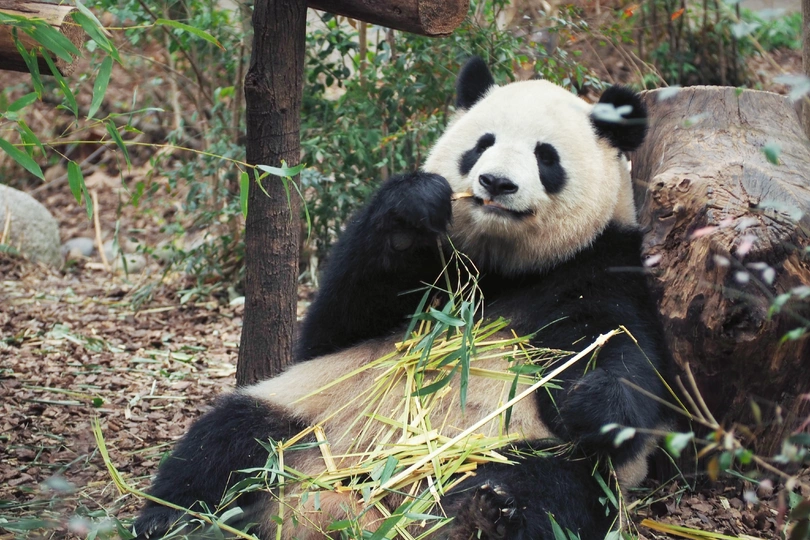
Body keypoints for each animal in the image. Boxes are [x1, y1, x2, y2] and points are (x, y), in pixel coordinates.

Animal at [134, 57, 672, 540]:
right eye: (482, 145)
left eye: (546, 156)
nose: (496, 182)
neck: (504, 267)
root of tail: (345, 511)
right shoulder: (434, 271)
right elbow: (336, 324)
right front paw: (412, 208)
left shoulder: (601, 263)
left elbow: (623, 357)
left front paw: (590, 400)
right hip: (309, 415)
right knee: (227, 447)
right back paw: (179, 523)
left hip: (505, 449)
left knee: (550, 488)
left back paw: (483, 517)